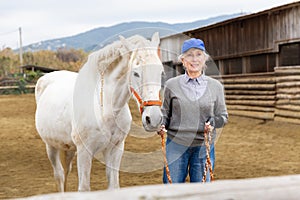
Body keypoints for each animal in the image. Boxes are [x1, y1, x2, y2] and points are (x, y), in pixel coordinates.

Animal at [35, 33, 164, 192]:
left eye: (161, 72)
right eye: (135, 73)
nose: (154, 119)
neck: (106, 109)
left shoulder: (115, 148)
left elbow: (114, 186)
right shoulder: (84, 151)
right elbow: (84, 188)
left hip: (68, 148)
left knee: (65, 172)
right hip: (51, 145)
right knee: (59, 175)